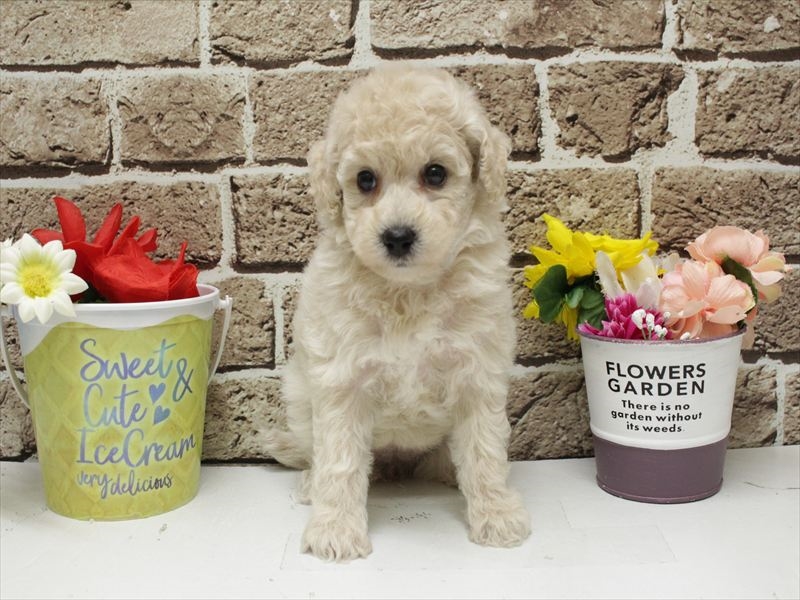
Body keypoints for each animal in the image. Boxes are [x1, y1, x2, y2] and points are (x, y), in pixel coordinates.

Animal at [265, 63, 531, 562]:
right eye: (365, 180)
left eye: (435, 173)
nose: (398, 236)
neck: (409, 292)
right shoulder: (341, 380)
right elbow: (340, 461)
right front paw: (336, 530)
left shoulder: (477, 374)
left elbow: (485, 452)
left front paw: (497, 517)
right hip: (299, 397)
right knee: (315, 452)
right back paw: (310, 484)